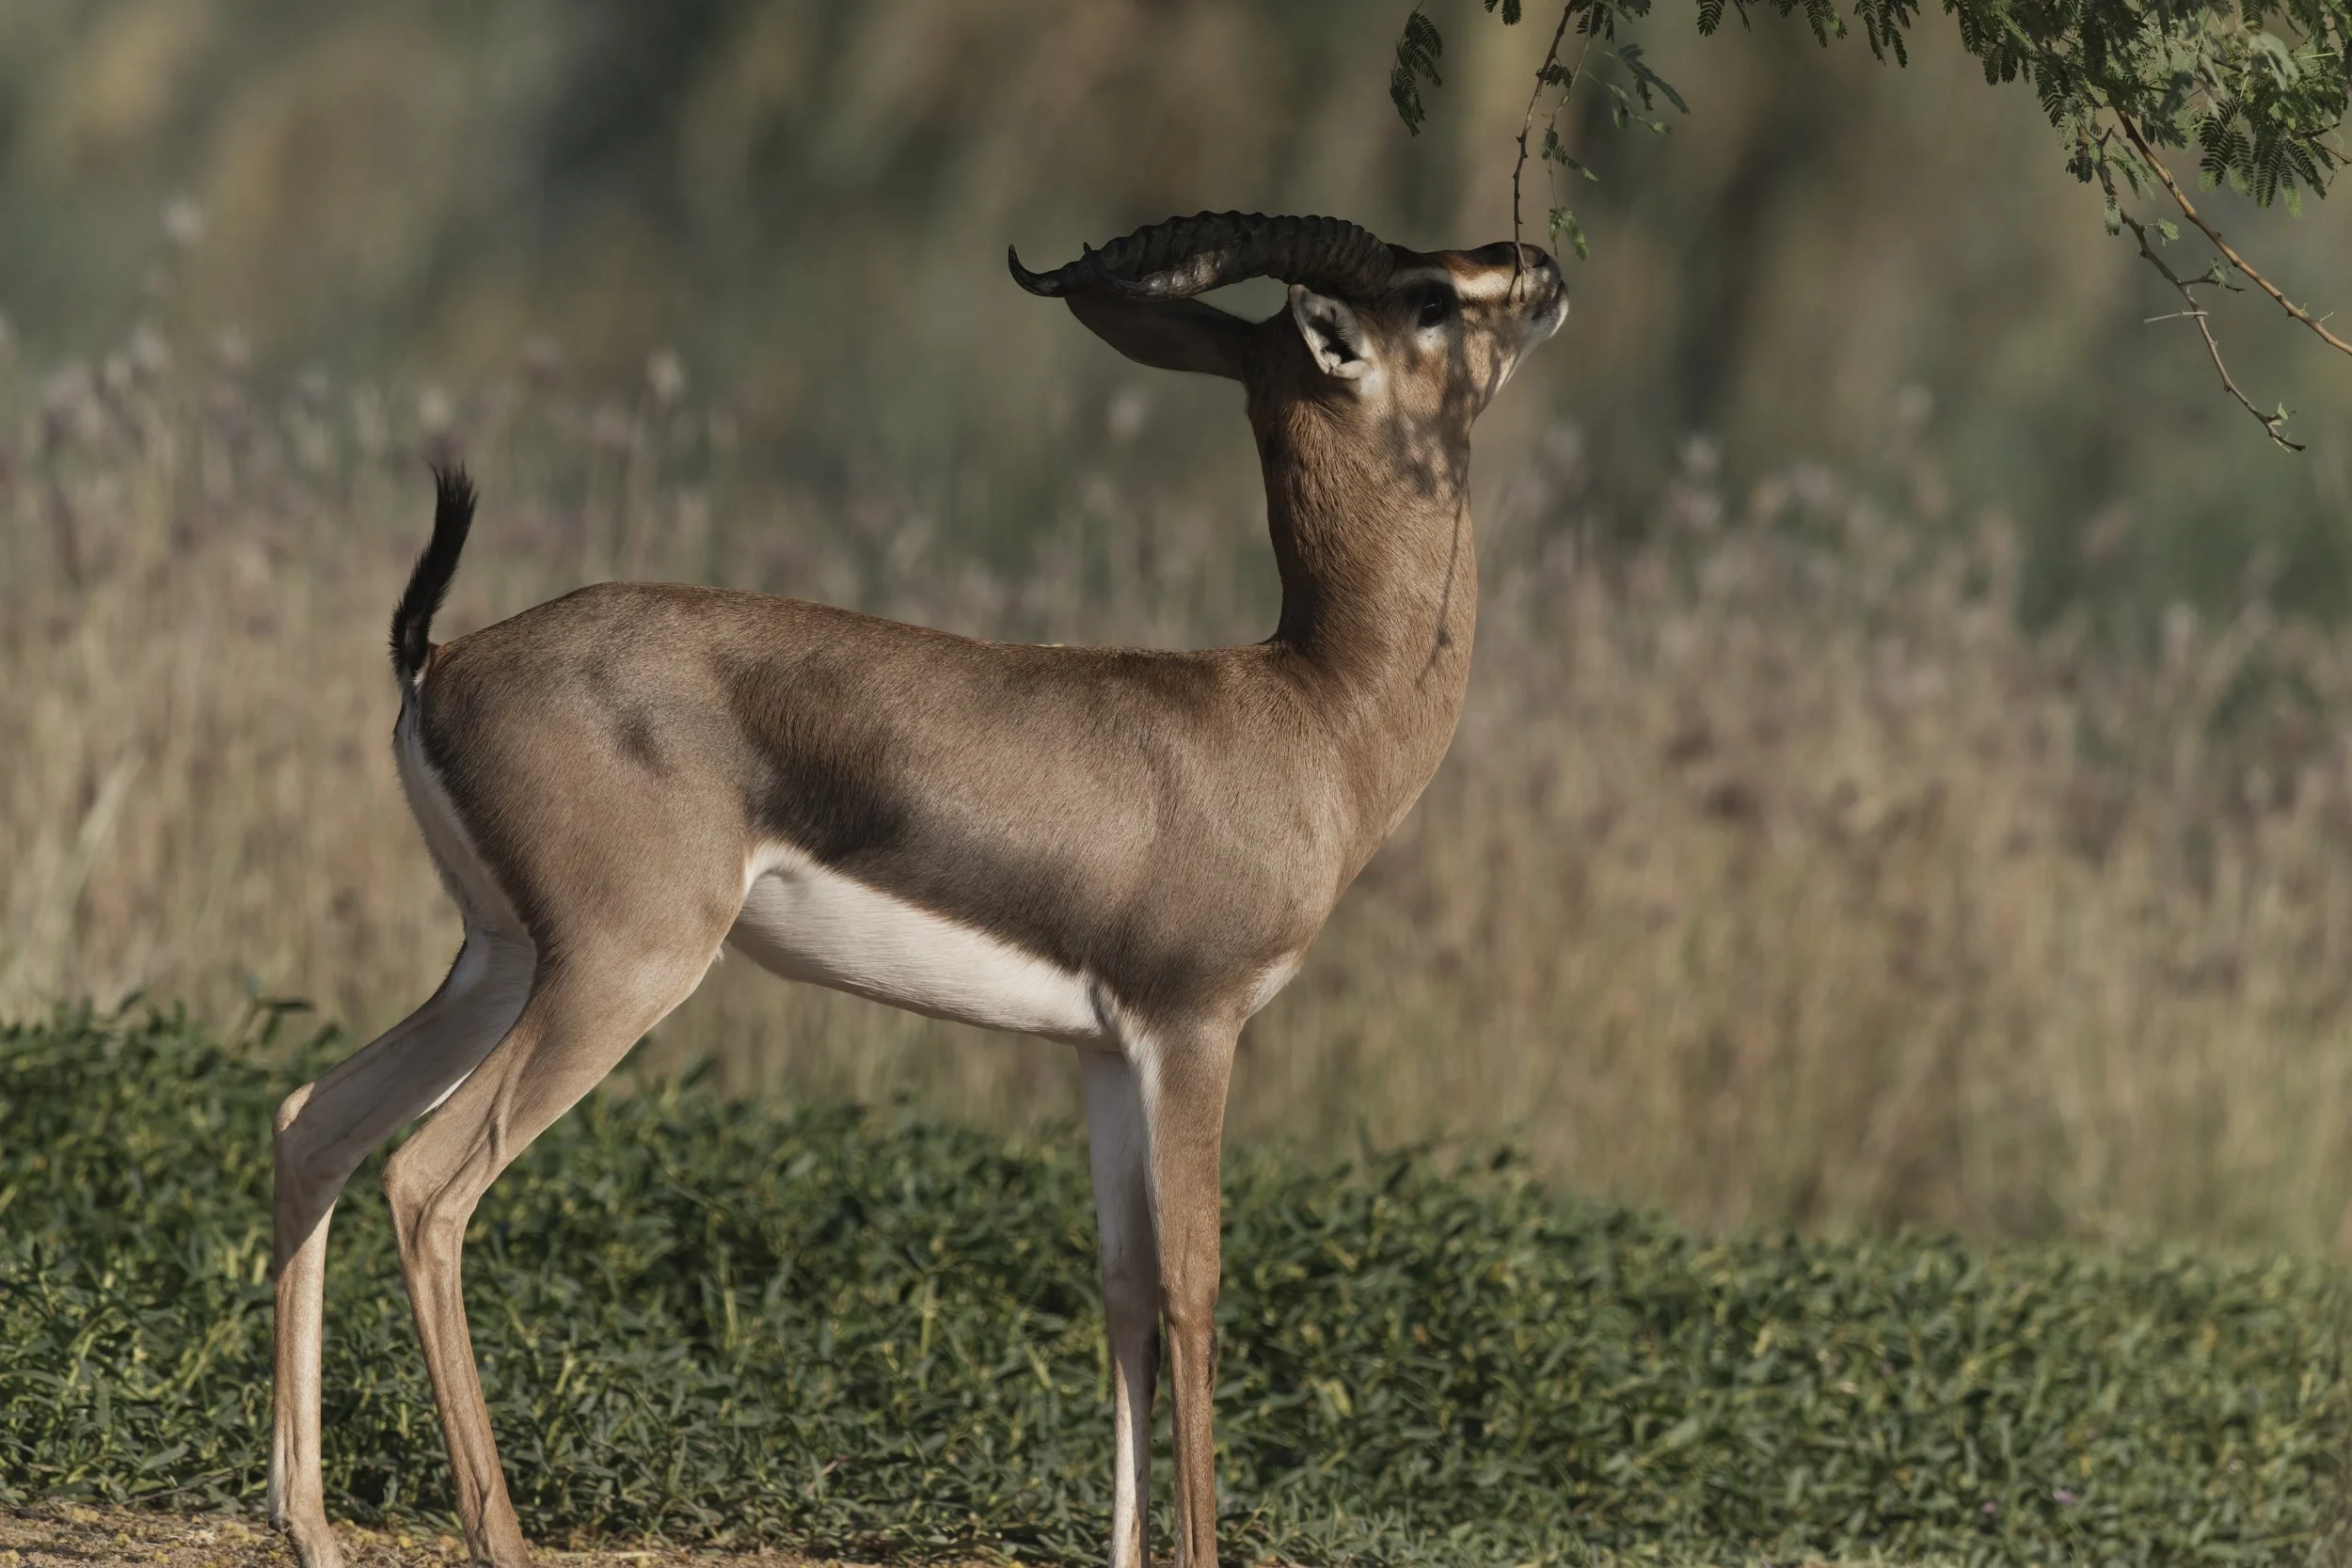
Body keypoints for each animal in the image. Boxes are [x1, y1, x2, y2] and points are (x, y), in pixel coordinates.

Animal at [266, 210, 1566, 1568]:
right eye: (1429, 299)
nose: (1540, 267)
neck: (1312, 707)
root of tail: (439, 659)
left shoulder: (1105, 1050)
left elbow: (1122, 1292)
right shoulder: (1195, 1027)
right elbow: (1194, 1290)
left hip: (500, 958)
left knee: (316, 1118)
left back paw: (308, 1523)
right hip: (618, 972)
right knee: (428, 1181)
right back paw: (498, 1534)